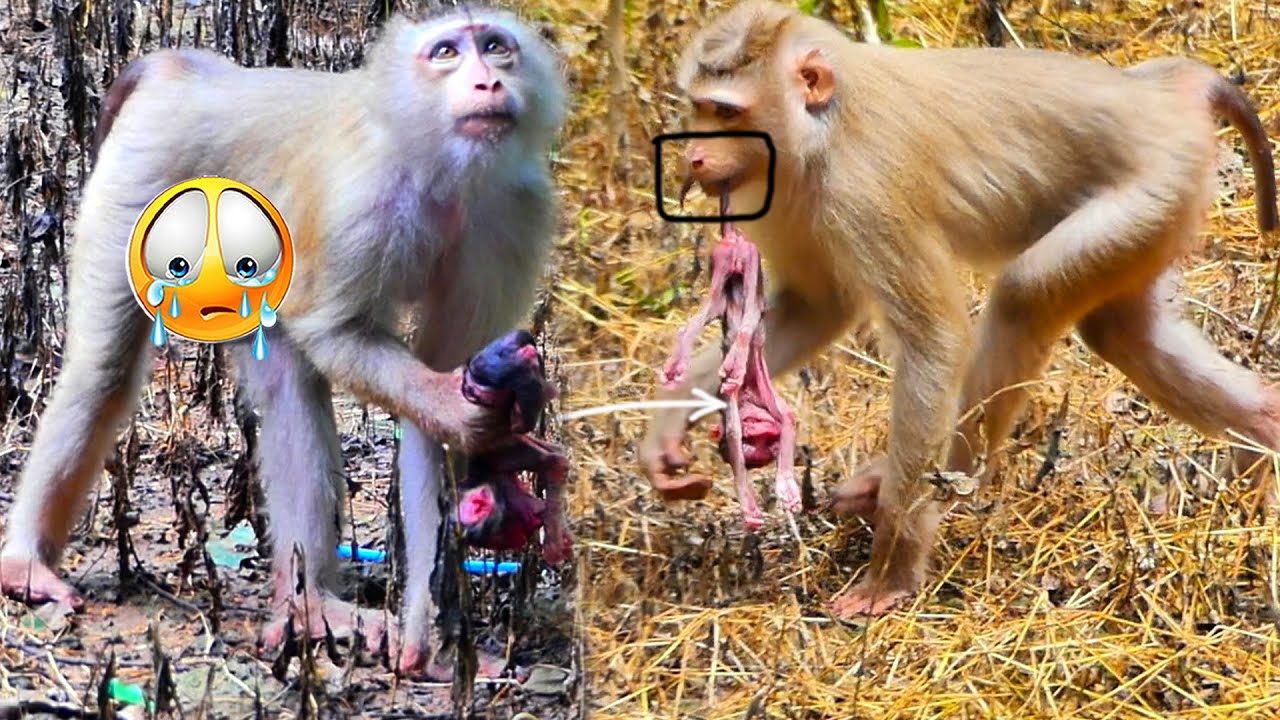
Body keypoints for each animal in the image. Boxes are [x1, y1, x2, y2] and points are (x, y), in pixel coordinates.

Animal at [0, 5, 568, 678]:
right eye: (448, 52)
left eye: (497, 47)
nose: (487, 81)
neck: (444, 167)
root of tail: (198, 73)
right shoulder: (365, 200)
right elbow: (336, 332)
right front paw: (466, 414)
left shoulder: (514, 217)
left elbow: (439, 392)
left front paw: (424, 625)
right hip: (144, 171)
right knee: (103, 374)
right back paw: (27, 560)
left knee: (287, 385)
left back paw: (311, 604)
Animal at [639, 0, 1279, 619]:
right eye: (699, 106)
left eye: (726, 112)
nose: (694, 157)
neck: (822, 126)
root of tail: (1160, 91)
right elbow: (815, 306)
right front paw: (671, 423)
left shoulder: (862, 191)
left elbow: (935, 341)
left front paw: (891, 570)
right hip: (1165, 203)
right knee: (1121, 331)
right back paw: (1262, 429)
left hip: (1153, 184)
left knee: (1025, 297)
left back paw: (944, 481)